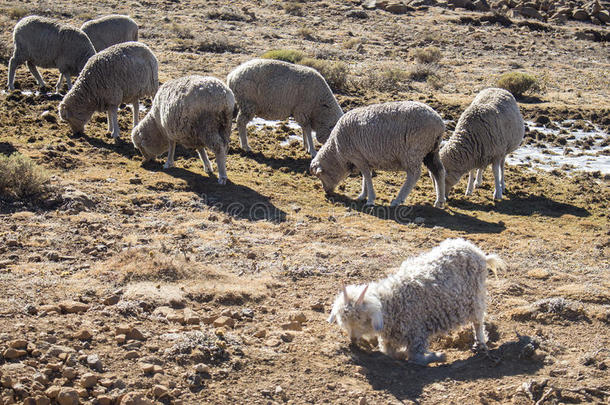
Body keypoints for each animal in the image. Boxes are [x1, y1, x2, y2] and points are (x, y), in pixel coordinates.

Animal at [306, 101, 444, 208]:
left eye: (320, 175)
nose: (326, 192)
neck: (337, 152)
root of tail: (439, 123)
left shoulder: (357, 156)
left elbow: (367, 176)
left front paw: (370, 199)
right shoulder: (365, 158)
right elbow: (365, 176)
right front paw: (363, 195)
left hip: (414, 151)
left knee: (414, 175)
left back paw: (398, 200)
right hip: (431, 151)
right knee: (439, 171)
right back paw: (439, 201)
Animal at [328, 238, 504, 364]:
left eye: (363, 320)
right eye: (343, 320)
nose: (352, 340)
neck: (393, 302)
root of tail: (480, 254)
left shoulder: (417, 332)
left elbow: (416, 357)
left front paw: (438, 356)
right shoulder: (390, 338)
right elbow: (389, 353)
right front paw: (400, 354)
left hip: (476, 297)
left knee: (478, 322)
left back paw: (480, 343)